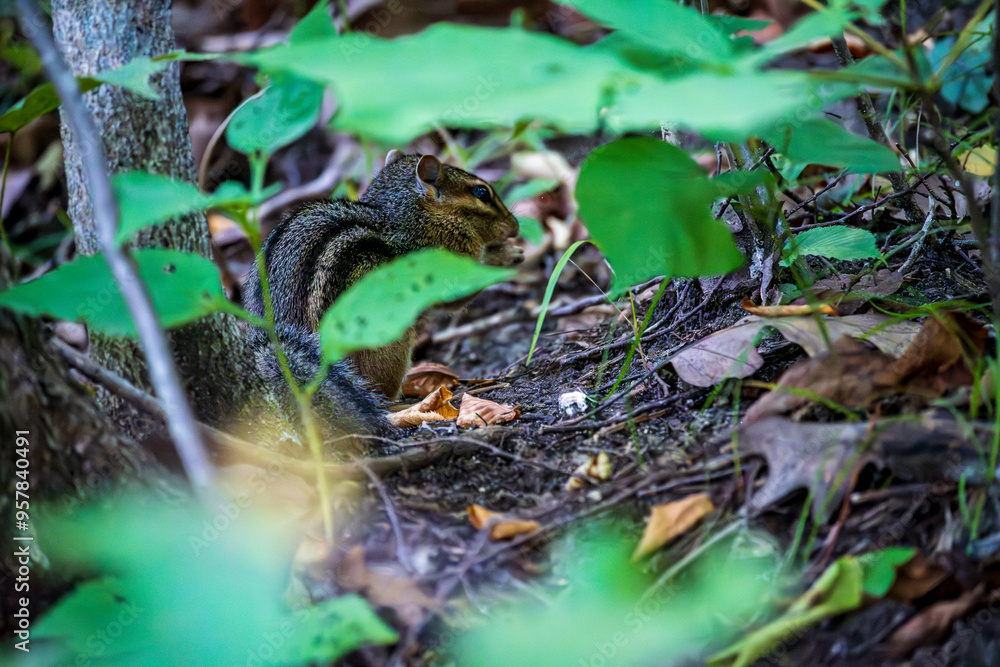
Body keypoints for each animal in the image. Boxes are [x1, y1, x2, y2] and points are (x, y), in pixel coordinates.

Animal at [243, 151, 523, 436]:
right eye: (481, 192)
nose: (515, 226)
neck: (413, 221)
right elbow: (457, 294)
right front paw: (503, 254)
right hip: (389, 343)